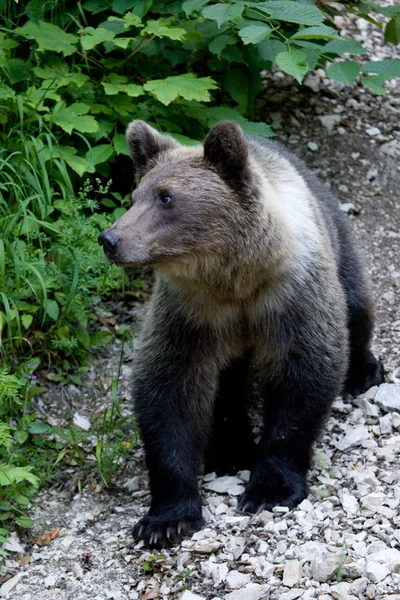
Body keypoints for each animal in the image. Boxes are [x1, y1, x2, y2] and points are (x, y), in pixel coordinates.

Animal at [98, 120, 382, 548]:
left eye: (166, 197)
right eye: (134, 196)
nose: (111, 239)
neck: (236, 280)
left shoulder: (291, 298)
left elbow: (305, 374)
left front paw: (270, 489)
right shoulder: (192, 313)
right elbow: (168, 390)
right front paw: (166, 519)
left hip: (339, 245)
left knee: (356, 305)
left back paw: (364, 371)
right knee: (226, 384)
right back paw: (231, 450)